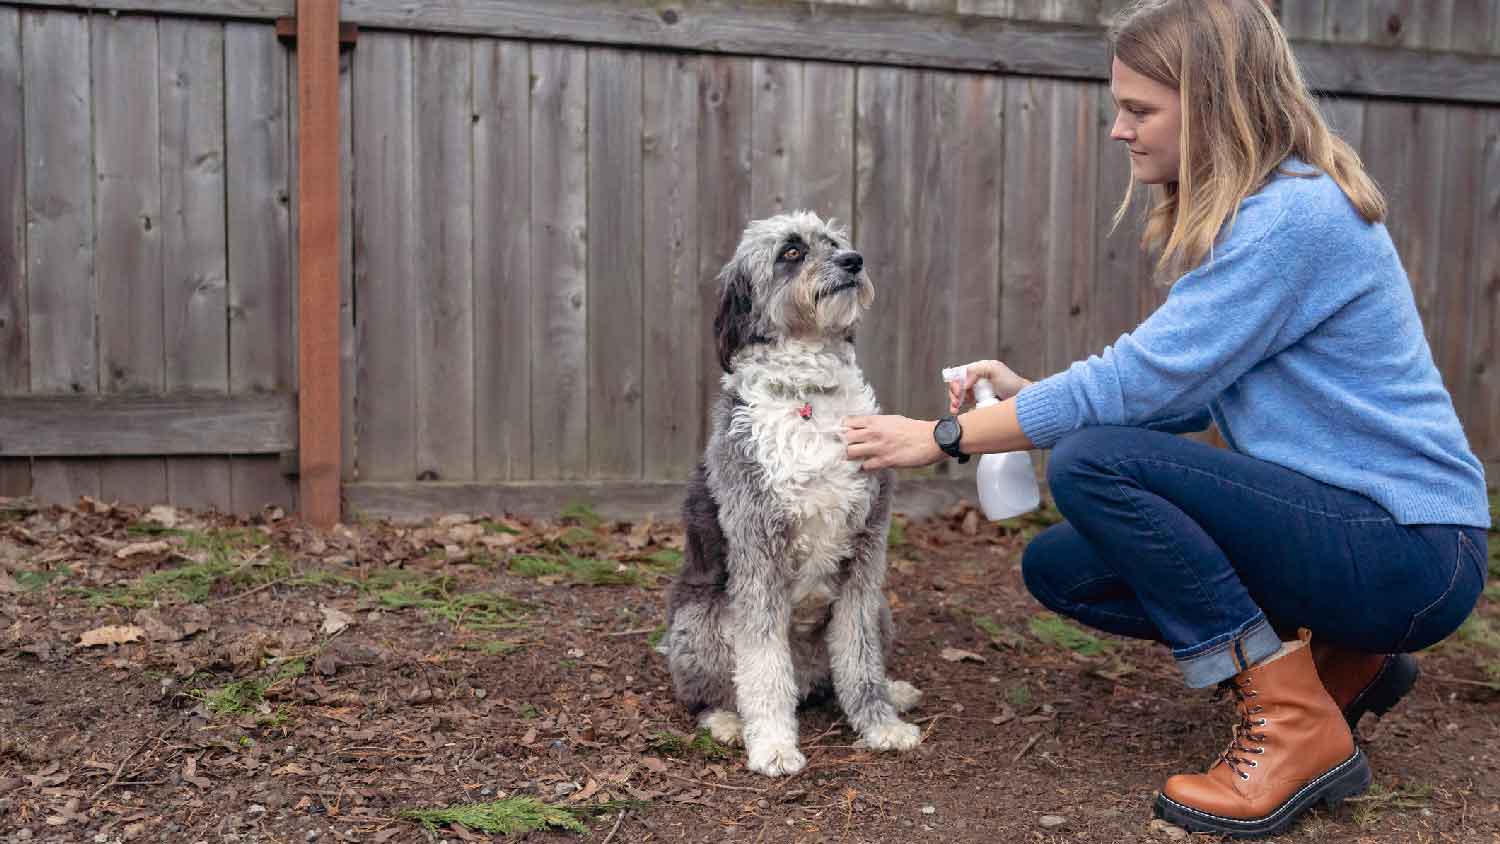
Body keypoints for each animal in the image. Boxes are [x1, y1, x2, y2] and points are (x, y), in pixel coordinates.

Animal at [663, 211, 918, 779]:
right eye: (791, 252)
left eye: (835, 242)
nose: (854, 261)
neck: (808, 396)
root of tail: (805, 679)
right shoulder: (758, 552)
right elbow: (761, 666)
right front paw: (774, 746)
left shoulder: (866, 556)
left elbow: (860, 656)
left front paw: (880, 724)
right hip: (700, 623)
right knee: (709, 694)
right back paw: (728, 722)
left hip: (883, 608)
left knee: (843, 670)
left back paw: (893, 690)